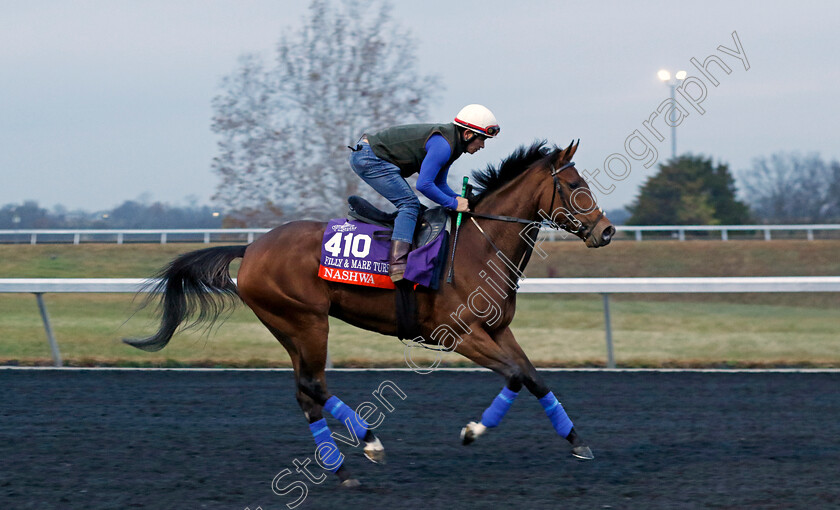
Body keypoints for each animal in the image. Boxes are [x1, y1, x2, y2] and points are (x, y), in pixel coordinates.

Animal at [126, 138, 616, 486]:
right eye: (576, 187)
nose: (607, 232)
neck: (480, 246)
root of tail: (251, 248)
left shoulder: (497, 330)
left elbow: (534, 378)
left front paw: (578, 442)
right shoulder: (457, 334)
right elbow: (514, 376)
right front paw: (472, 432)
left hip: (287, 326)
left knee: (305, 392)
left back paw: (340, 468)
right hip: (307, 320)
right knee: (313, 385)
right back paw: (369, 441)